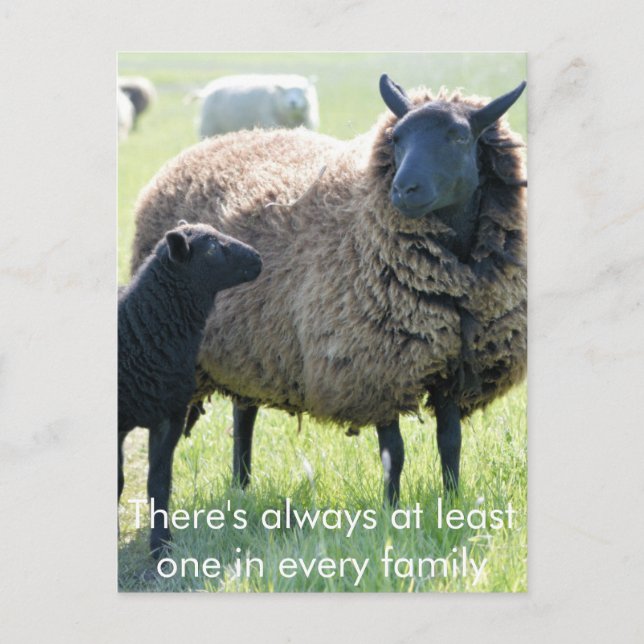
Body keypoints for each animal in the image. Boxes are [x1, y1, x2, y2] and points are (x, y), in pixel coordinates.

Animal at [119, 222, 262, 556]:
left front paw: (161, 544)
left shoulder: (170, 416)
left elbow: (159, 482)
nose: (258, 258)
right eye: (211, 248)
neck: (142, 330)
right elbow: (117, 480)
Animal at [130, 74, 527, 506]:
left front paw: (452, 502)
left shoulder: (454, 365)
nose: (404, 189)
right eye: (397, 137)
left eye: (458, 136)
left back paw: (242, 485)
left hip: (250, 344)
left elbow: (450, 442)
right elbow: (395, 452)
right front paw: (391, 510)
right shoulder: (376, 367)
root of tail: (208, 146)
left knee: (243, 414)